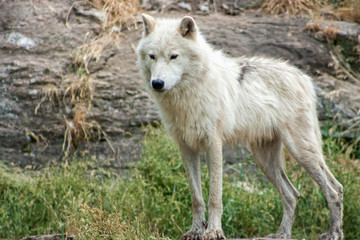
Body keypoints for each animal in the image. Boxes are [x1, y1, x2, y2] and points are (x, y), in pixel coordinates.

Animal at [136, 14, 344, 239]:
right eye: (152, 56)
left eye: (173, 56)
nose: (157, 83)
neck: (187, 95)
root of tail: (303, 77)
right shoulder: (186, 147)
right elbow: (196, 197)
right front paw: (196, 230)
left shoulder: (213, 144)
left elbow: (214, 196)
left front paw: (214, 231)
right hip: (265, 160)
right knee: (292, 194)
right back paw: (281, 235)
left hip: (301, 152)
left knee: (334, 189)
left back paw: (334, 233)